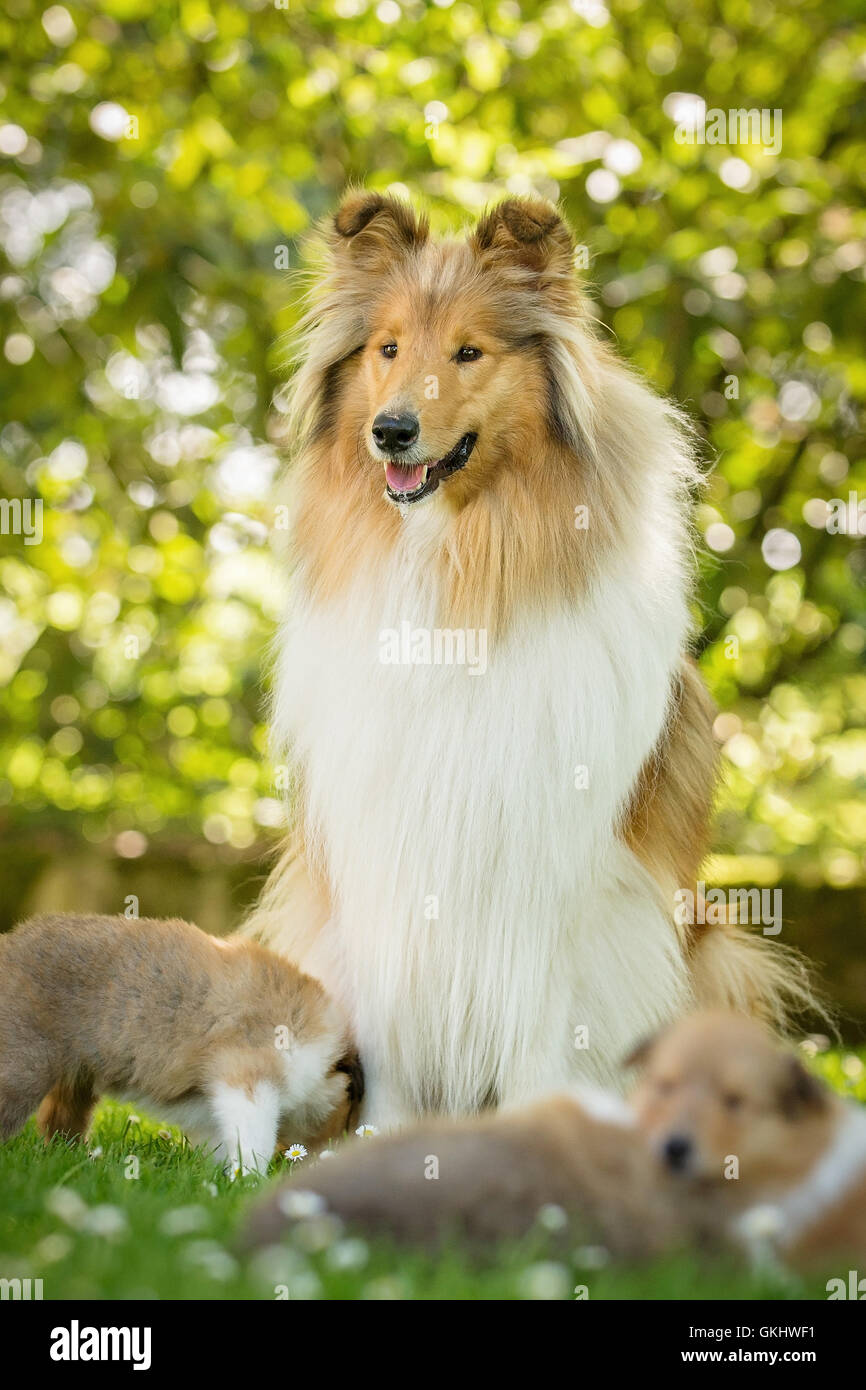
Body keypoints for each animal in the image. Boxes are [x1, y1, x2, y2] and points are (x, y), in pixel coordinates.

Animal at [0, 911, 361, 1173]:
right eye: (347, 1119)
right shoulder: (249, 1081)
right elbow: (253, 1141)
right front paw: (247, 1182)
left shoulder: (205, 1103)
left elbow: (221, 1140)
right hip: (23, 1068)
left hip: (75, 1081)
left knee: (59, 1122)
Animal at [241, 190, 811, 1123]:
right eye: (387, 348)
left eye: (469, 351)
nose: (390, 432)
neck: (452, 563)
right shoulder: (385, 860)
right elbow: (395, 1034)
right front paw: (386, 1140)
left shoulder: (554, 876)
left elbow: (544, 1027)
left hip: (711, 950)